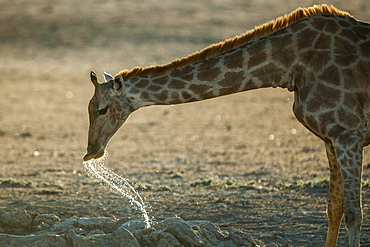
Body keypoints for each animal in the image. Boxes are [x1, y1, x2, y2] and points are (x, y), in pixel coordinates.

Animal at [84, 4, 370, 246]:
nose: (90, 152)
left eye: (102, 109)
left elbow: (354, 214)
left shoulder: (348, 134)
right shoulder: (332, 137)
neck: (290, 67)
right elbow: (334, 208)